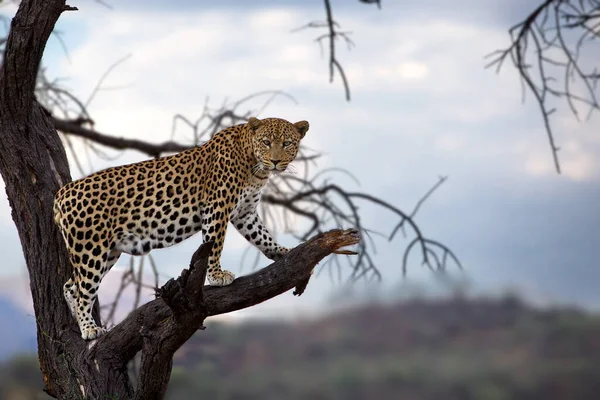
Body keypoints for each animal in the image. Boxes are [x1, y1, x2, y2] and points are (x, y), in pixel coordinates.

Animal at [51, 117, 310, 340]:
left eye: (286, 144)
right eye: (266, 142)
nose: (275, 161)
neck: (256, 169)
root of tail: (61, 193)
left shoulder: (245, 213)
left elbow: (262, 235)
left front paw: (283, 252)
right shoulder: (217, 206)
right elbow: (215, 243)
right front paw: (216, 276)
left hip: (108, 250)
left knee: (70, 285)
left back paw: (78, 322)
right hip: (90, 249)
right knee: (84, 290)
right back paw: (89, 329)